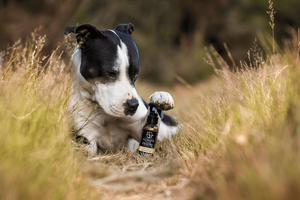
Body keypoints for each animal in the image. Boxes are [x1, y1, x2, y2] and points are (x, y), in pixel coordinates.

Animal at [65, 22, 178, 152]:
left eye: (135, 73)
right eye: (110, 73)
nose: (133, 105)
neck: (103, 113)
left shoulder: (138, 130)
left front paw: (161, 97)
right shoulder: (87, 139)